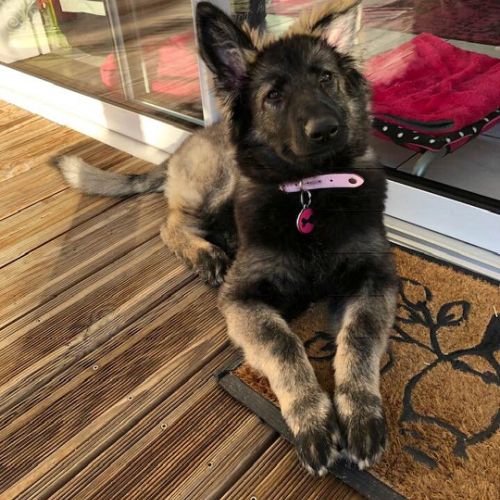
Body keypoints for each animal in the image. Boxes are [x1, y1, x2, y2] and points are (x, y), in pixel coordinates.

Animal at [54, 0, 398, 476]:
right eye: (273, 96)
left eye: (325, 78)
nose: (326, 128)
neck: (312, 190)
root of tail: (186, 143)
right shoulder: (243, 299)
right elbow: (284, 346)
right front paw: (312, 420)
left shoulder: (374, 279)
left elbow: (360, 337)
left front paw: (362, 413)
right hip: (214, 184)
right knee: (170, 224)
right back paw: (208, 255)